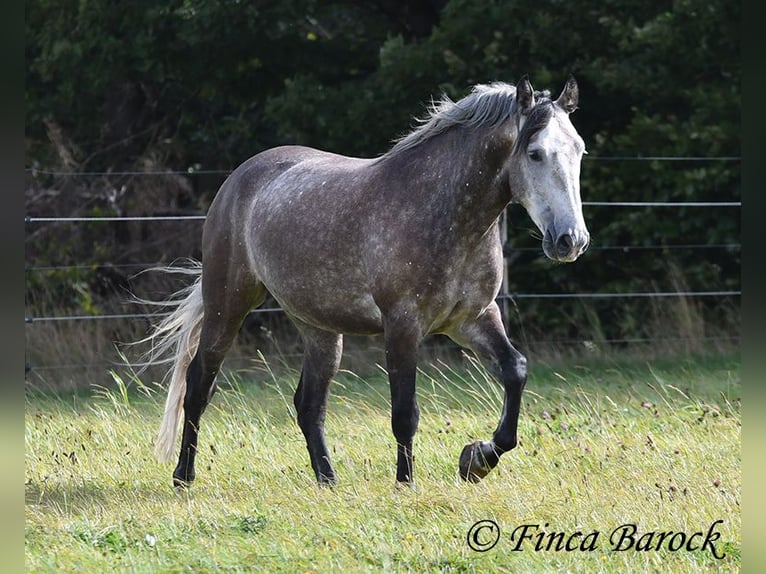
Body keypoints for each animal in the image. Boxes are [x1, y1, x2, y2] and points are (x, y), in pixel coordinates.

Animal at [141, 75, 592, 490]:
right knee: (198, 385)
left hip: (319, 328)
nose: (571, 240)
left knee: (308, 404)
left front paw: (476, 460)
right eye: (535, 153)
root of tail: (238, 179)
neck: (444, 215)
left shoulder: (474, 318)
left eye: (579, 150)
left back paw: (328, 480)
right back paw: (184, 477)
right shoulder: (403, 325)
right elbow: (405, 412)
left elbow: (515, 372)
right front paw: (406, 484)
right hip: (227, 305)